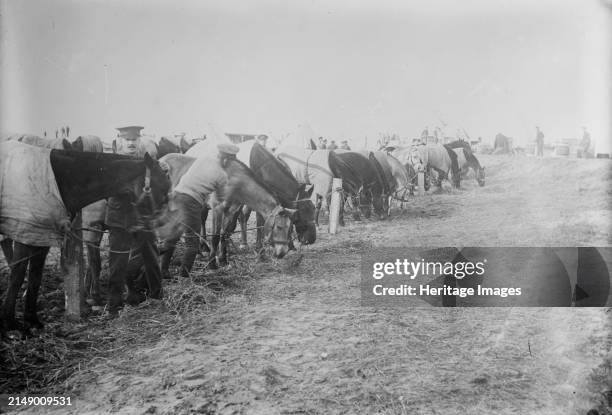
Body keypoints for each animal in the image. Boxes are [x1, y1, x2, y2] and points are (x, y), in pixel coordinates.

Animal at [0, 141, 170, 334]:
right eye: (162, 187)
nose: (159, 226)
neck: (60, 179)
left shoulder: (40, 237)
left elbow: (36, 276)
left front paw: (32, 320)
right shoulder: (24, 234)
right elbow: (17, 275)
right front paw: (11, 322)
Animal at [158, 153, 296, 272]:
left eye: (290, 229)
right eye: (279, 227)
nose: (282, 252)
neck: (234, 182)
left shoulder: (232, 211)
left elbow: (225, 234)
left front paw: (223, 259)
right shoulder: (217, 209)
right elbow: (215, 237)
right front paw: (212, 264)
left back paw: (201, 249)